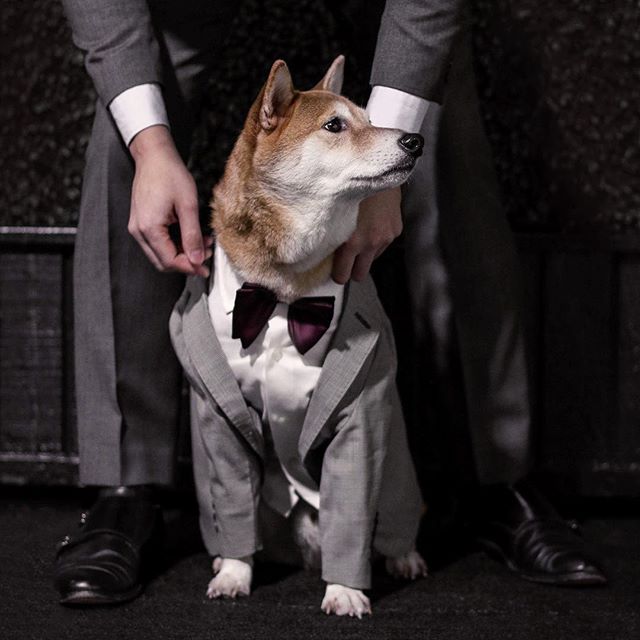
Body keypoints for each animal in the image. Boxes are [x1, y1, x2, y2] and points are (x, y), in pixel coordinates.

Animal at [170, 56, 427, 618]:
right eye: (335, 125)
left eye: (370, 117)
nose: (415, 140)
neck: (281, 293)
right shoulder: (218, 419)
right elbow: (233, 506)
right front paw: (235, 574)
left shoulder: (362, 415)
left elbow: (351, 515)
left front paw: (346, 590)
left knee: (394, 521)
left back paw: (403, 556)